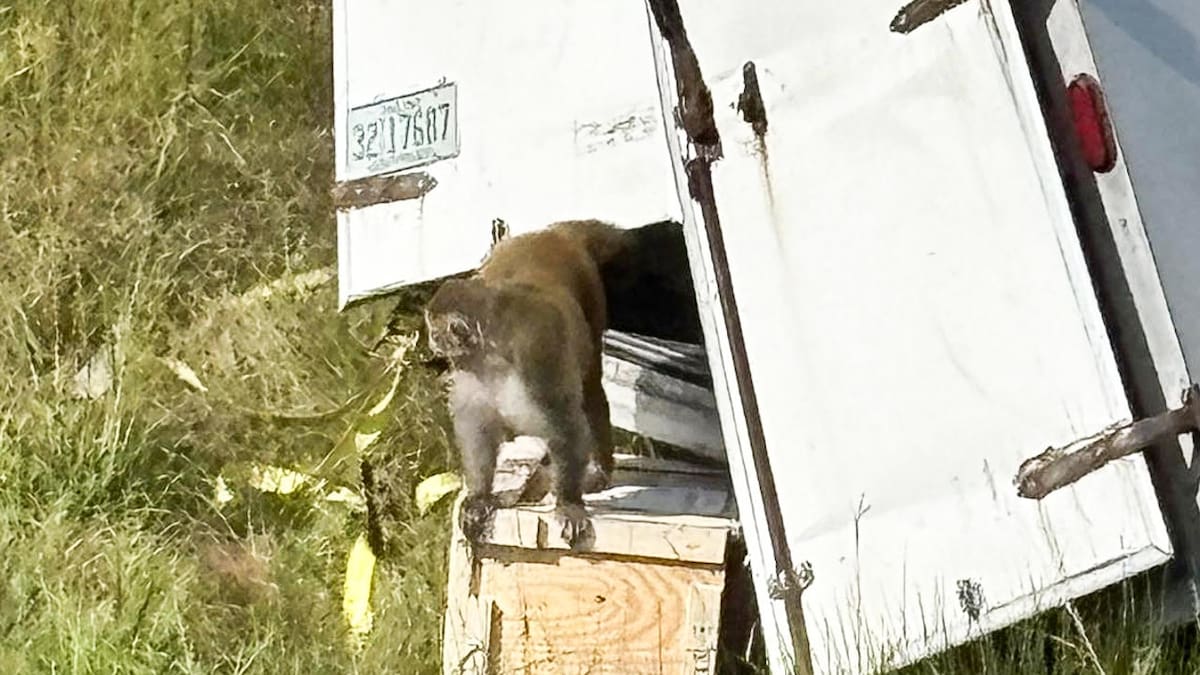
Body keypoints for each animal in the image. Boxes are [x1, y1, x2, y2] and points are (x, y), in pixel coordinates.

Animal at [425, 219, 634, 550]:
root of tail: (551, 233)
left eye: (435, 331)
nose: (431, 342)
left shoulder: (537, 356)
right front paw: (480, 496)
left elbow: (565, 424)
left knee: (590, 388)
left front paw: (568, 503)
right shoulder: (470, 372)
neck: (493, 354)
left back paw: (599, 470)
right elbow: (477, 428)